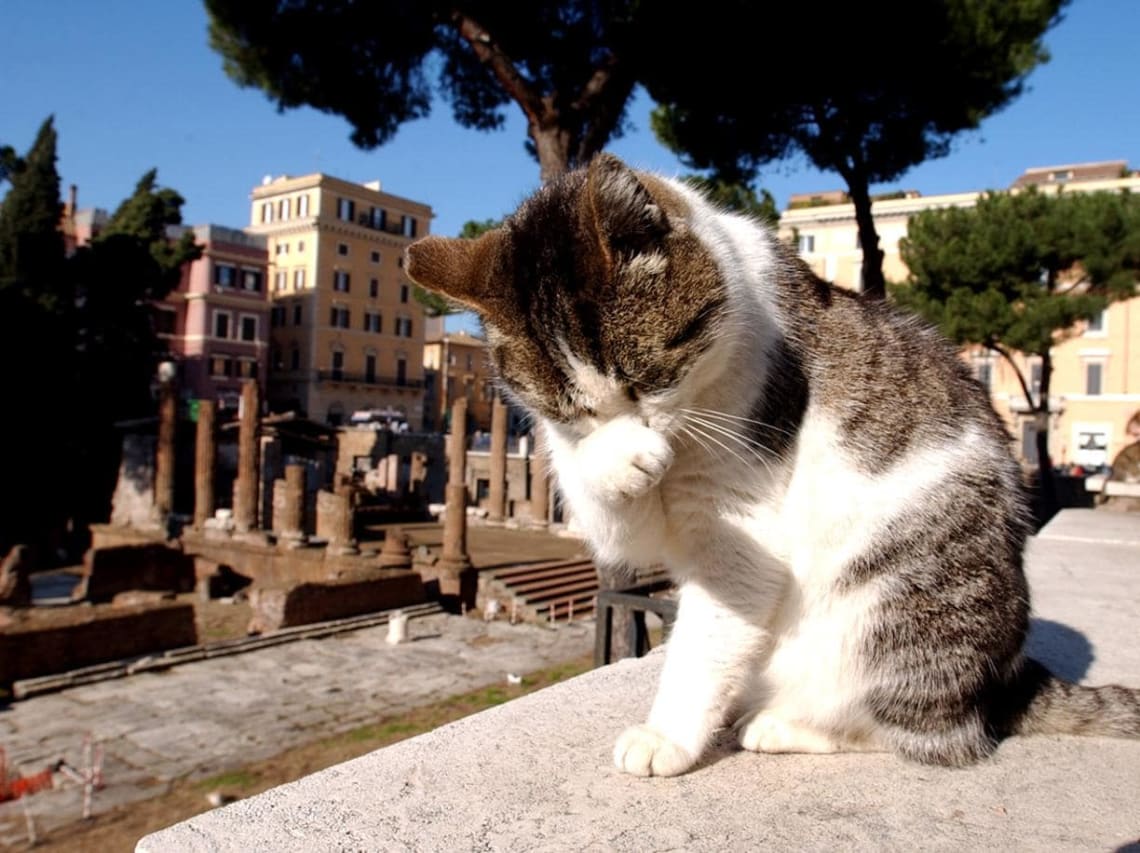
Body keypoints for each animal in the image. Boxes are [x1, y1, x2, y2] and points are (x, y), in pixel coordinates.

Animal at [408, 151, 1140, 770]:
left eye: (645, 379)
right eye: (573, 408)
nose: (635, 429)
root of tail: (1011, 679)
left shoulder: (740, 526)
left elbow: (705, 639)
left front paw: (667, 737)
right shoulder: (624, 514)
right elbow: (607, 508)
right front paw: (615, 456)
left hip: (896, 607)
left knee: (930, 735)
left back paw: (784, 725)